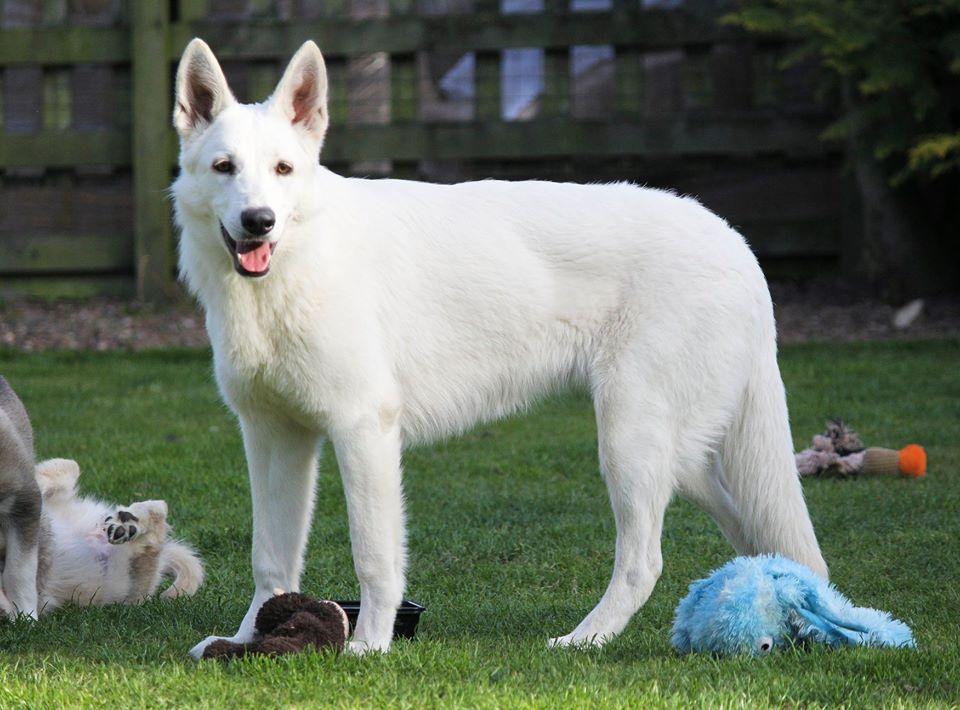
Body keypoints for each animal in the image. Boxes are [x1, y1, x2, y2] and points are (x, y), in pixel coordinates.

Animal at [171, 40, 824, 660]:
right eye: (225, 168)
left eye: (283, 169)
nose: (259, 221)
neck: (294, 266)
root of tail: (736, 243)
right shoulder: (274, 439)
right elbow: (270, 562)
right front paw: (247, 639)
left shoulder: (363, 432)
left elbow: (374, 557)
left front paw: (370, 645)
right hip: (684, 463)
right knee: (764, 538)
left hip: (630, 444)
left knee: (645, 563)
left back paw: (585, 640)